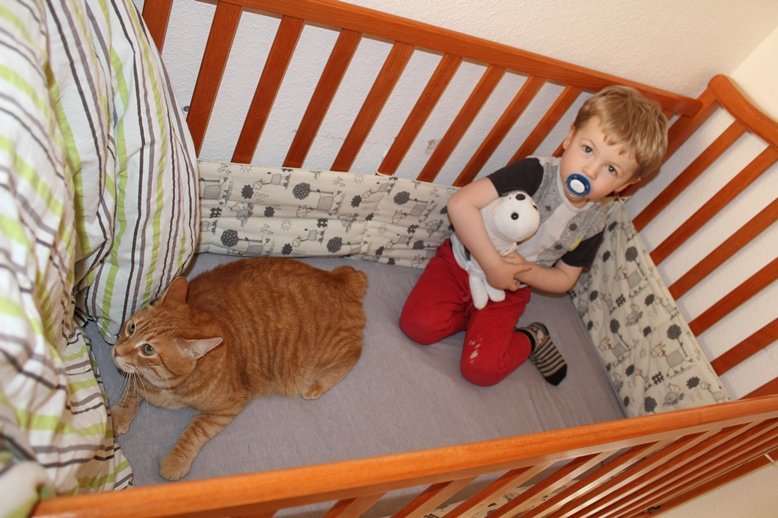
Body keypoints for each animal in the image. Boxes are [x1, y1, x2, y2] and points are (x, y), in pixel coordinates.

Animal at [109, 257, 367, 481]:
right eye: (131, 327)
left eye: (148, 349)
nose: (116, 351)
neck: (166, 389)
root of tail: (339, 277)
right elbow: (132, 390)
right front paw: (119, 415)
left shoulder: (228, 407)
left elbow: (196, 431)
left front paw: (176, 460)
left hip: (327, 354)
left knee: (354, 354)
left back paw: (316, 386)